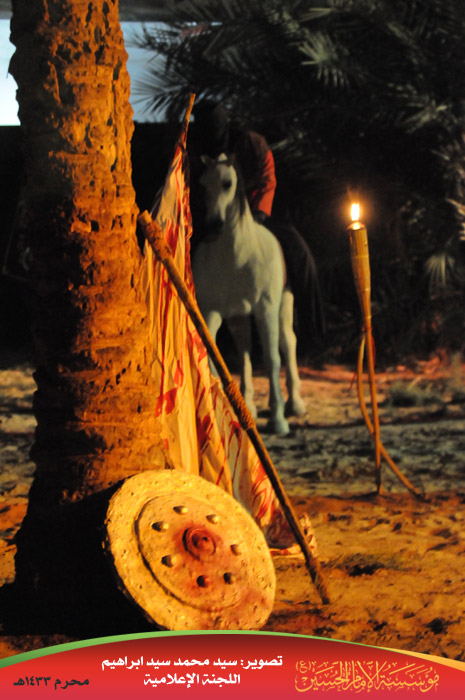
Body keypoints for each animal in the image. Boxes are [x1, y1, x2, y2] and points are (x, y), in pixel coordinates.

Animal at [191, 154, 308, 435]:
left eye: (228, 183)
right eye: (201, 185)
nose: (214, 225)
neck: (236, 256)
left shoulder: (265, 309)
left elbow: (272, 358)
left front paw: (278, 419)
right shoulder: (212, 312)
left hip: (283, 306)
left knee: (288, 343)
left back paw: (294, 403)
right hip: (237, 317)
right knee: (244, 350)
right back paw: (248, 405)